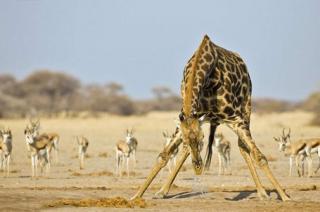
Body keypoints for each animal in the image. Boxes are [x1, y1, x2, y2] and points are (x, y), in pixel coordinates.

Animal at [131, 34, 292, 200]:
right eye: (187, 139)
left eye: (202, 138)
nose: (198, 168)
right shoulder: (187, 120)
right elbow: (164, 155)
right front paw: (137, 196)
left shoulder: (234, 118)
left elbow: (259, 156)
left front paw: (285, 197)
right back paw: (162, 190)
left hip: (246, 107)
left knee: (243, 146)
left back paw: (262, 192)